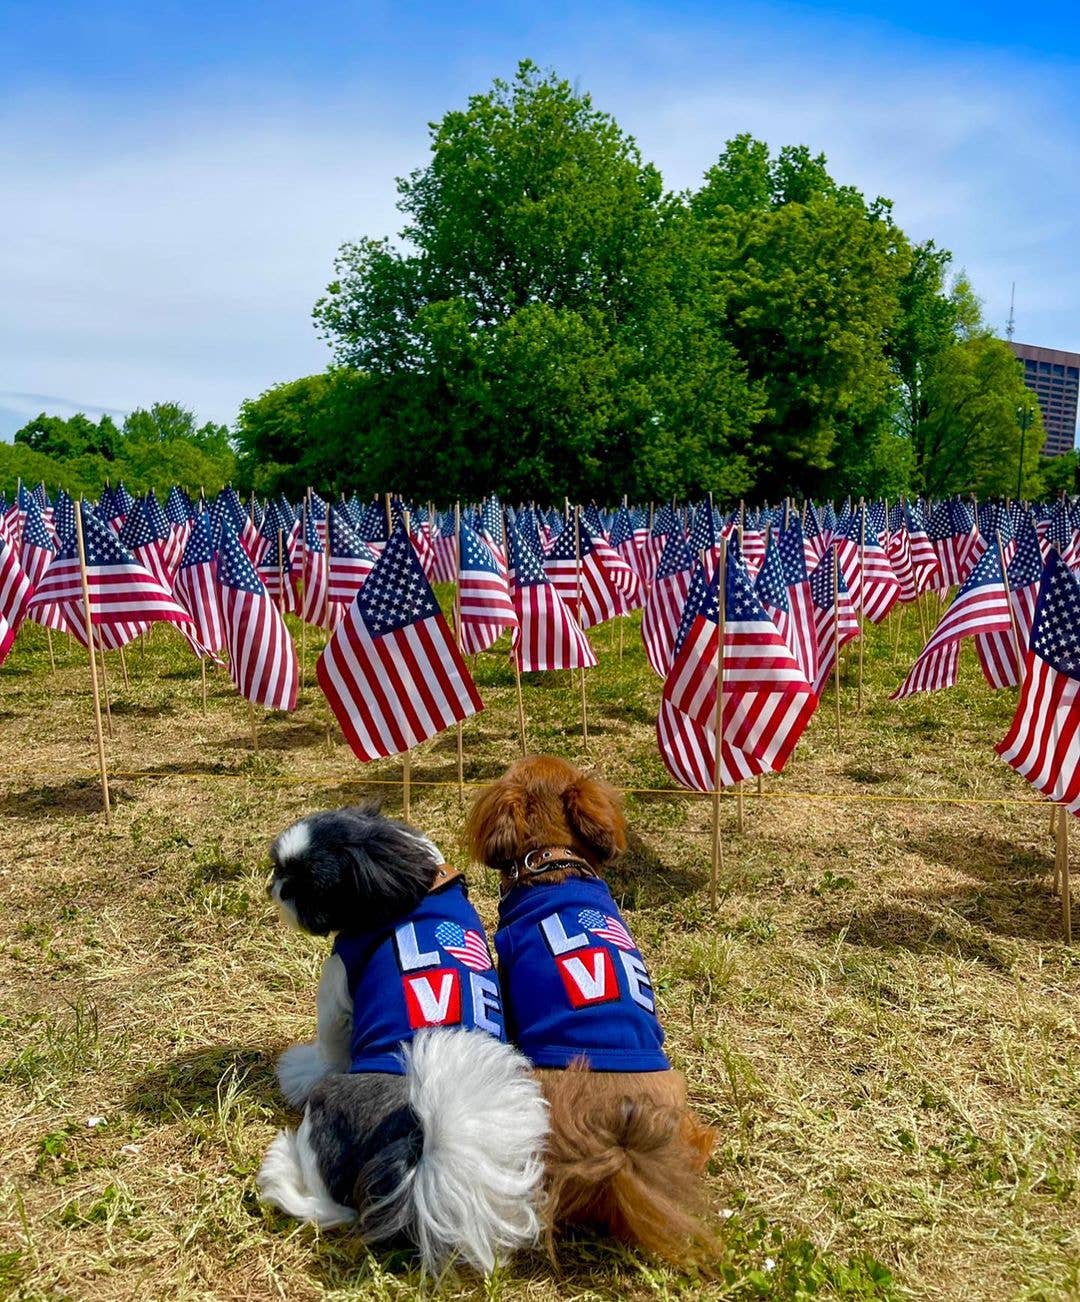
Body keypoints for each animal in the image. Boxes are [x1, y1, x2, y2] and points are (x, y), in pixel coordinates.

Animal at [255, 802, 547, 1270]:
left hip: (329, 1109)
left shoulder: (339, 984)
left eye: (308, 887)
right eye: (280, 867)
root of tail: (413, 1142)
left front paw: (299, 1070)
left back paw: (284, 1170)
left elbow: (328, 1046)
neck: (420, 883)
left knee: (335, 1207)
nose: (276, 888)